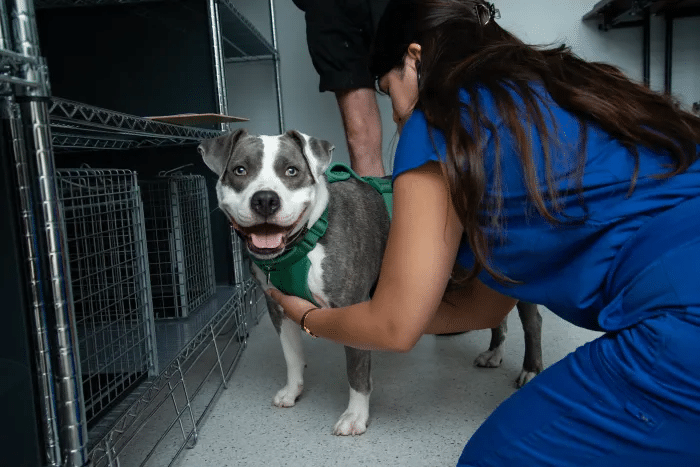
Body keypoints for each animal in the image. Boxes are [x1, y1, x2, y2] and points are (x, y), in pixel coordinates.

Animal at [200, 129, 544, 438]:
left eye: (291, 171)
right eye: (239, 170)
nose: (265, 200)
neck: (306, 239)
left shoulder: (352, 308)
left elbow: (356, 371)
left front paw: (355, 417)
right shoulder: (277, 307)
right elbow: (292, 356)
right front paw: (292, 390)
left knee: (532, 321)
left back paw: (531, 369)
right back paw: (494, 353)